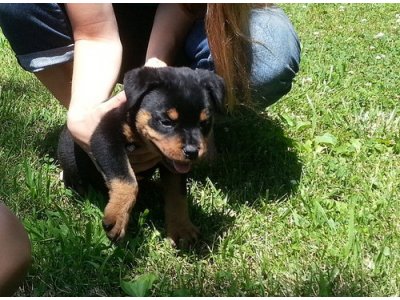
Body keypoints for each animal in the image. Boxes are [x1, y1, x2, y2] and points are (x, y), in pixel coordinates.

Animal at [57, 67, 225, 246]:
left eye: (204, 123)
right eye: (166, 121)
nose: (192, 152)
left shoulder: (175, 167)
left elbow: (178, 195)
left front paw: (182, 228)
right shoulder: (104, 136)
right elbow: (127, 180)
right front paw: (117, 218)